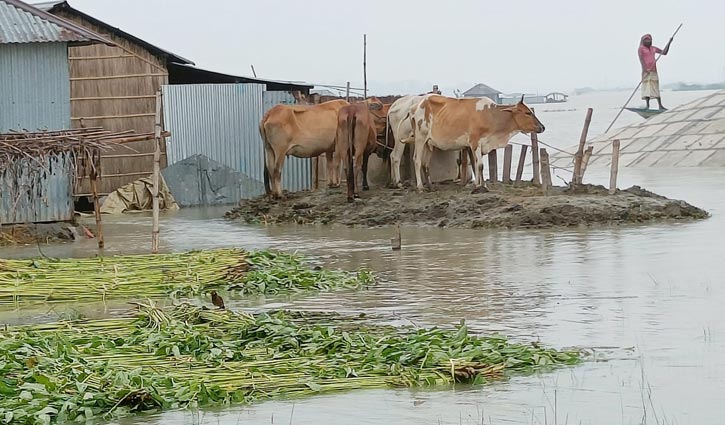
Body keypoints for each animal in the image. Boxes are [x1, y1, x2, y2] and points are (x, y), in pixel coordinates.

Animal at [412, 96, 544, 190]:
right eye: (527, 113)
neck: (491, 115)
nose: (542, 127)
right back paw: (420, 187)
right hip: (420, 139)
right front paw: (482, 186)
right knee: (417, 160)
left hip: (429, 143)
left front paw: (479, 184)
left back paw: (430, 186)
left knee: (425, 164)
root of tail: (417, 105)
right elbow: (480, 165)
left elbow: (475, 164)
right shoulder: (475, 142)